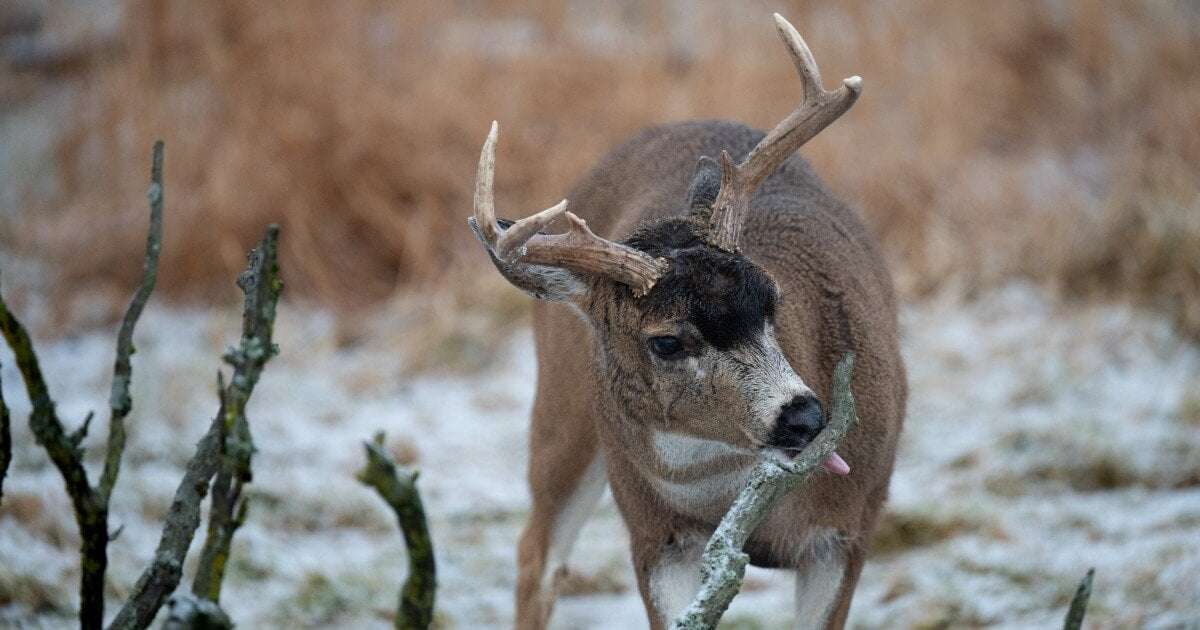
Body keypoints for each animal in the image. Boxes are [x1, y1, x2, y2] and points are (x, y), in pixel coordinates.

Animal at [468, 13, 905, 630]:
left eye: (772, 298)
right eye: (666, 342)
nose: (804, 417)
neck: (723, 486)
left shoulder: (850, 528)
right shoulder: (657, 535)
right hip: (561, 403)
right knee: (538, 554)